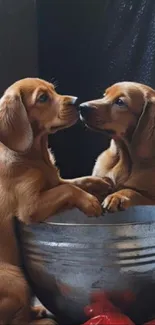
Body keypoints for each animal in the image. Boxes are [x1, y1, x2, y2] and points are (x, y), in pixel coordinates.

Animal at [0, 77, 111, 322]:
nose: (77, 101)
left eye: (54, 90)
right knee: (14, 319)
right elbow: (68, 189)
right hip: (16, 278)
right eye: (43, 98)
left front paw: (99, 183)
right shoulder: (30, 207)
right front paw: (90, 202)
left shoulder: (54, 180)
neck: (34, 156)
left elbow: (73, 182)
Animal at [79, 81, 155, 210]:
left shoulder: (150, 199)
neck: (124, 157)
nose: (81, 107)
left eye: (120, 102)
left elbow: (133, 191)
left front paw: (117, 196)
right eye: (105, 95)